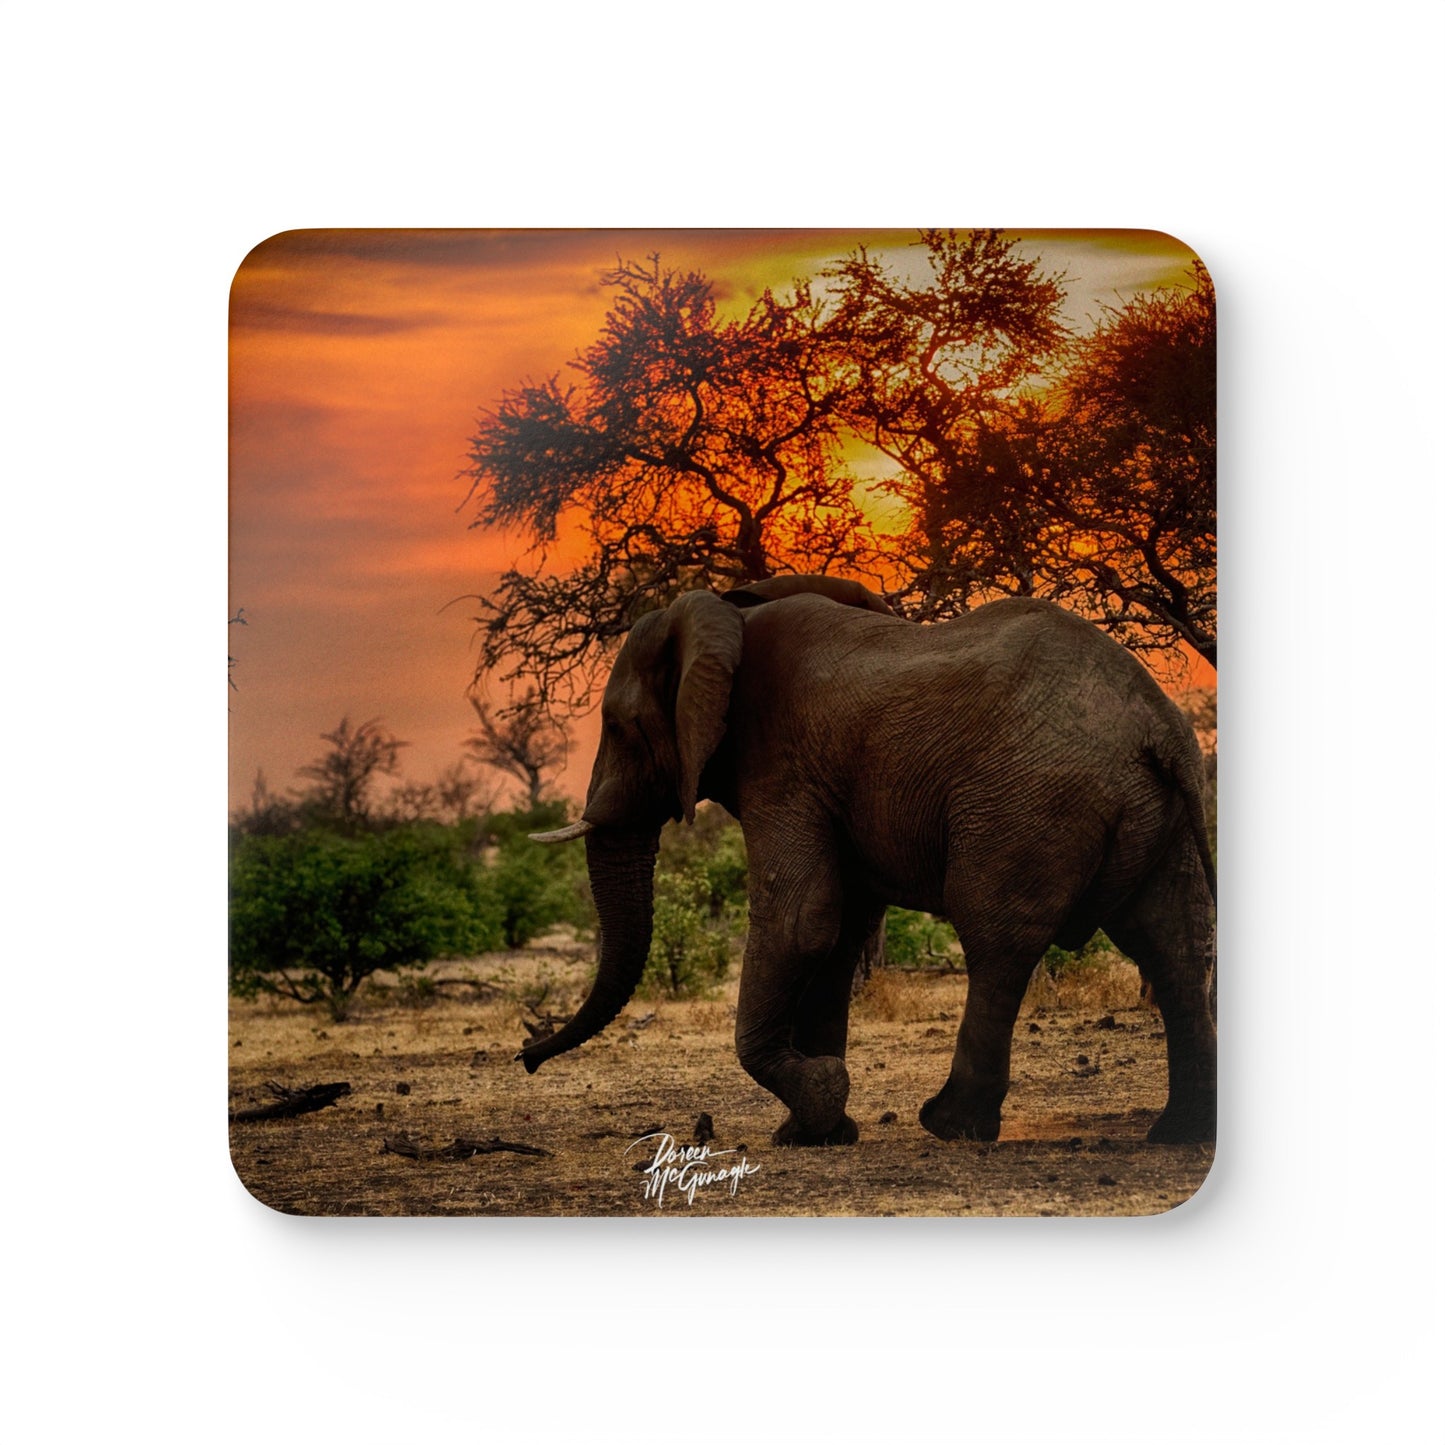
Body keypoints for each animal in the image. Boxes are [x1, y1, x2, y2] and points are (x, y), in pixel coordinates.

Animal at [523, 576, 1216, 1147]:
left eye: (620, 726)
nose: (527, 1057)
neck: (727, 615)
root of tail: (1161, 727)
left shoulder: (782, 767)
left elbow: (800, 921)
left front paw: (821, 1096)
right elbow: (837, 934)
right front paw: (814, 1134)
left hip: (1031, 801)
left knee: (998, 939)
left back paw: (950, 1126)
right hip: (1159, 816)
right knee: (1174, 943)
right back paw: (1179, 1133)